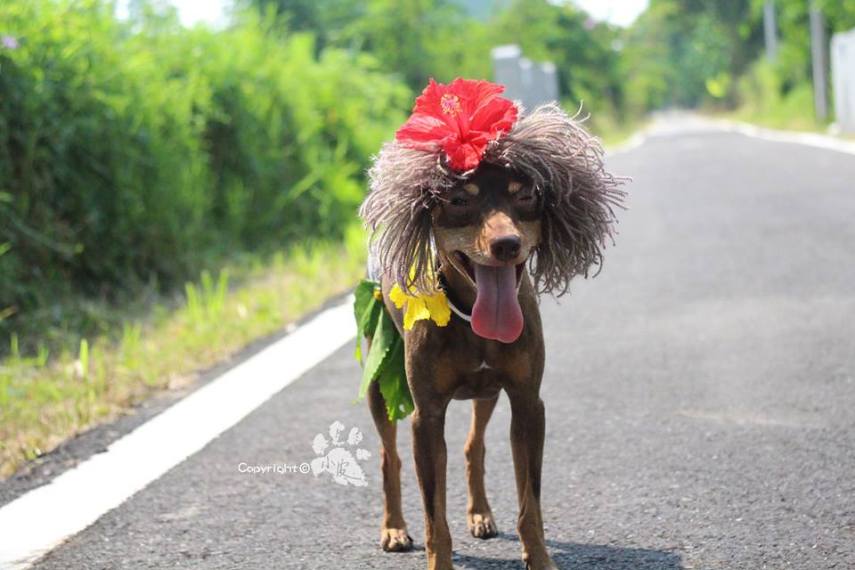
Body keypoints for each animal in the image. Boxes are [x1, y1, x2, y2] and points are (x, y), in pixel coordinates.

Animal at [358, 80, 624, 568]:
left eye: (526, 195)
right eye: (459, 200)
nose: (506, 244)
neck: (469, 315)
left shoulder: (528, 401)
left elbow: (530, 505)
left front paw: (539, 559)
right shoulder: (426, 417)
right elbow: (435, 518)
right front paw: (436, 558)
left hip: (487, 390)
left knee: (473, 445)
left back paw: (480, 514)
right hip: (378, 380)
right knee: (389, 457)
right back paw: (394, 528)